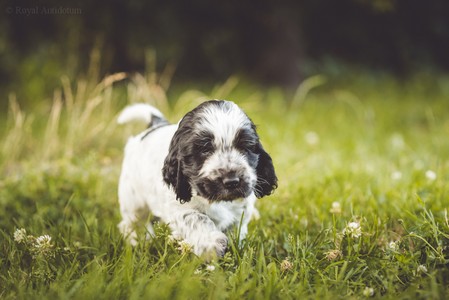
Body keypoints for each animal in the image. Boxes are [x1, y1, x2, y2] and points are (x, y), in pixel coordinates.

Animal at [117, 100, 274, 258]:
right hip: (132, 200)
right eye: (205, 150)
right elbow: (197, 218)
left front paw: (237, 248)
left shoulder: (241, 210)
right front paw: (212, 244)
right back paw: (138, 241)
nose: (232, 181)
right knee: (132, 222)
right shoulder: (178, 207)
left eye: (245, 147)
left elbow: (236, 228)